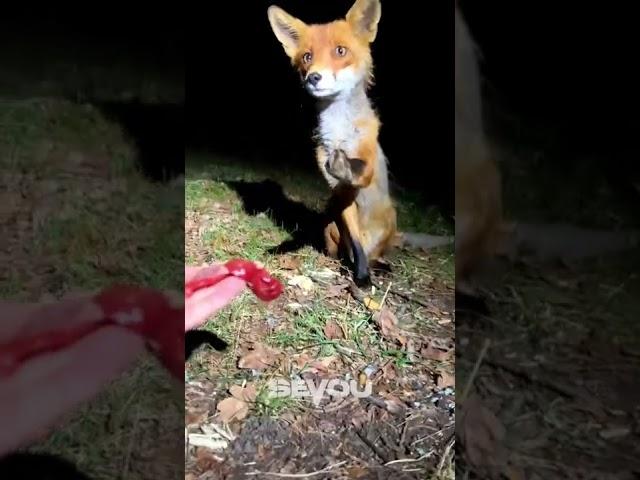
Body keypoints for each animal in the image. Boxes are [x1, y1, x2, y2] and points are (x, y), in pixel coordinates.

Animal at [268, 0, 452, 284]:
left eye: (340, 51)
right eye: (307, 57)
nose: (313, 77)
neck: (340, 131)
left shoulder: (365, 158)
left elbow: (360, 172)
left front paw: (364, 275)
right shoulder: (340, 191)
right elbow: (355, 244)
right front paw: (360, 273)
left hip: (390, 219)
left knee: (376, 252)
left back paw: (381, 265)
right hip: (331, 225)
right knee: (344, 249)